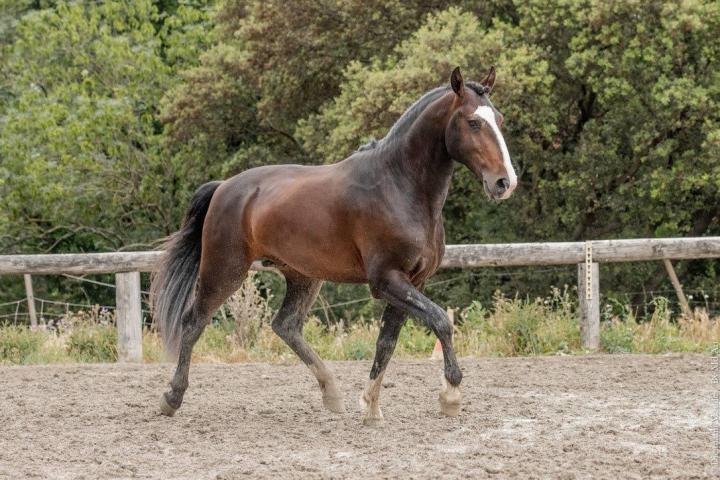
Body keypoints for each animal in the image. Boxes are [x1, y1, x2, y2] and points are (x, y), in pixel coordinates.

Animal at [151, 66, 517, 425]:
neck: (400, 186)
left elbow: (387, 341)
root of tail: (225, 186)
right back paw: (172, 398)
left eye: (499, 119)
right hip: (225, 270)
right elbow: (440, 321)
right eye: (473, 122)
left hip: (302, 276)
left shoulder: (413, 281)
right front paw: (450, 396)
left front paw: (370, 406)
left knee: (285, 326)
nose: (504, 182)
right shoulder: (387, 280)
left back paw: (332, 393)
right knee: (193, 322)